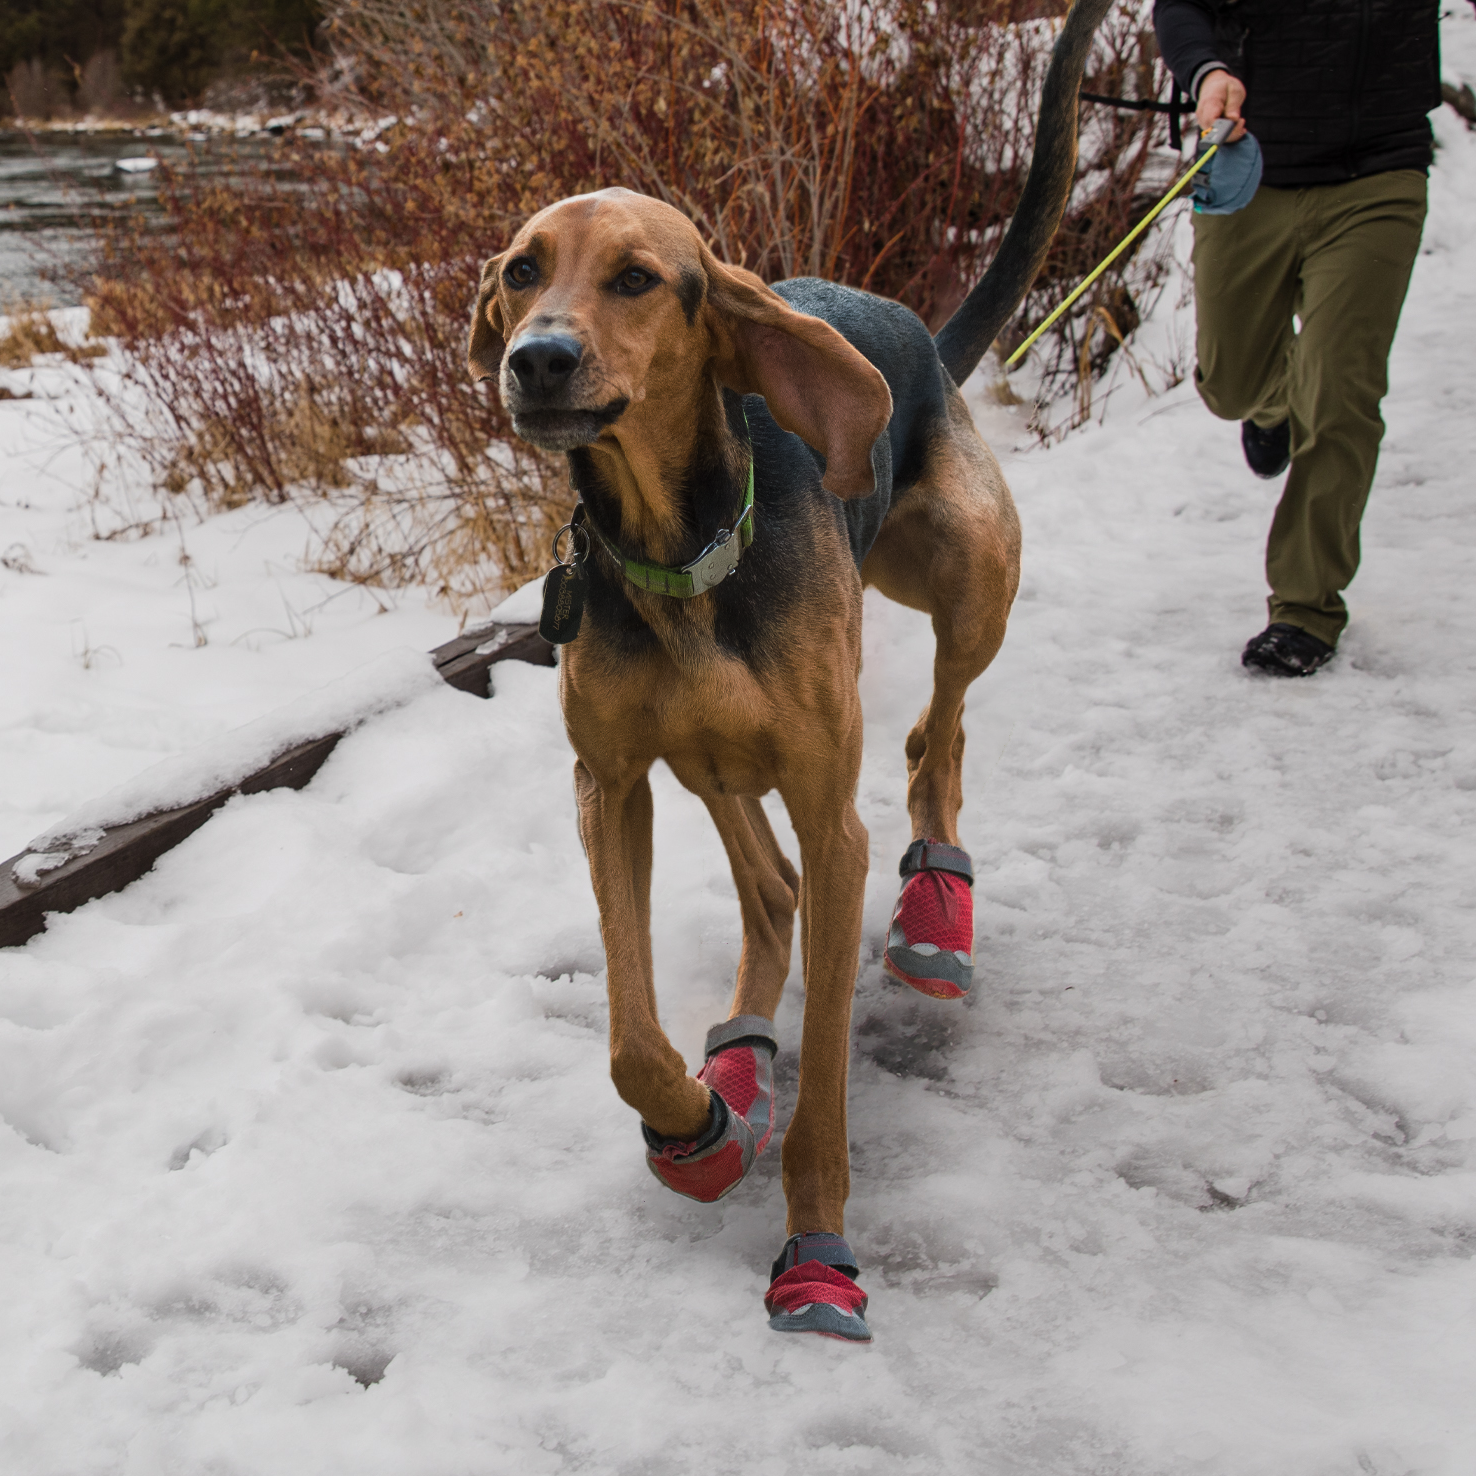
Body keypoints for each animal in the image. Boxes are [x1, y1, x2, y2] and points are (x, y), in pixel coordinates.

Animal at [469, 0, 1109, 1340]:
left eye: (636, 278)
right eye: (520, 270)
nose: (536, 360)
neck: (681, 547)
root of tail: (911, 326)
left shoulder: (829, 813)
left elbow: (826, 1085)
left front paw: (817, 1245)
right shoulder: (611, 785)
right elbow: (629, 1036)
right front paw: (696, 1121)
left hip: (971, 580)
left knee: (934, 737)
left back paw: (935, 910)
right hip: (709, 756)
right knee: (767, 889)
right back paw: (735, 1059)